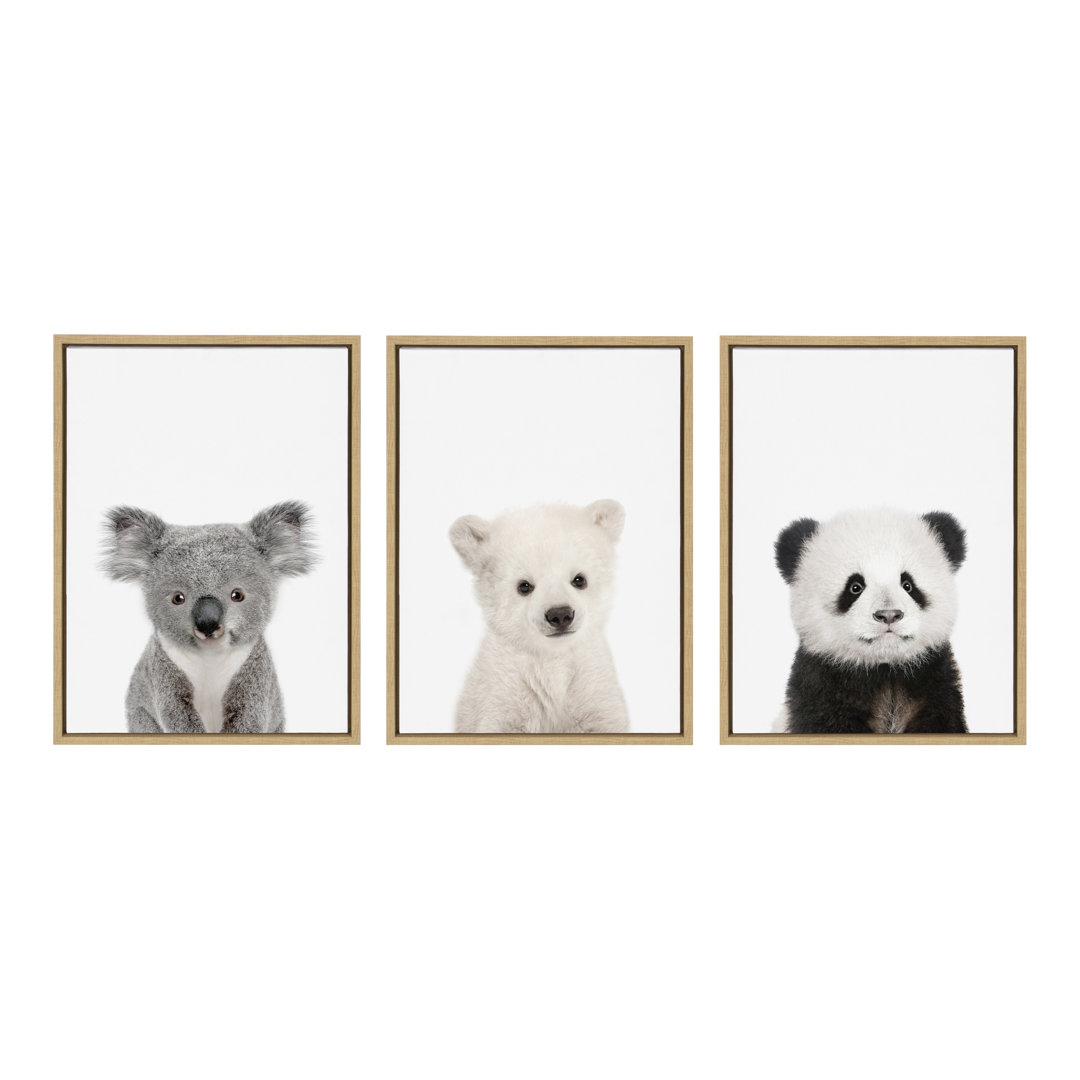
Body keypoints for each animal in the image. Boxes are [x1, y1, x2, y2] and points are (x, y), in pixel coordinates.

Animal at [449, 500, 629, 734]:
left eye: (579, 579)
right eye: (524, 585)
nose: (560, 614)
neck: (552, 657)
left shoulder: (592, 686)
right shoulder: (504, 690)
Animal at [774, 508, 968, 734]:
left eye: (908, 585)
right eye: (855, 587)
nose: (889, 614)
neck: (884, 671)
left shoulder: (934, 682)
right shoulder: (820, 685)